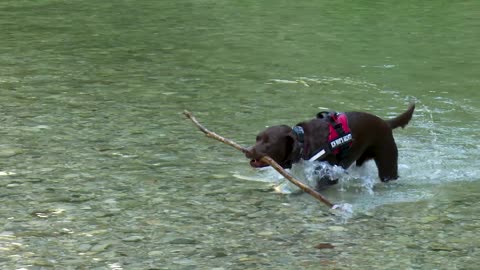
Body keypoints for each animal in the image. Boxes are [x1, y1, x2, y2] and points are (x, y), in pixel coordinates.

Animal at [246, 104, 414, 189]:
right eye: (257, 139)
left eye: (268, 144)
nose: (247, 151)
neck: (303, 142)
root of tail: (386, 123)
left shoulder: (328, 175)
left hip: (387, 165)